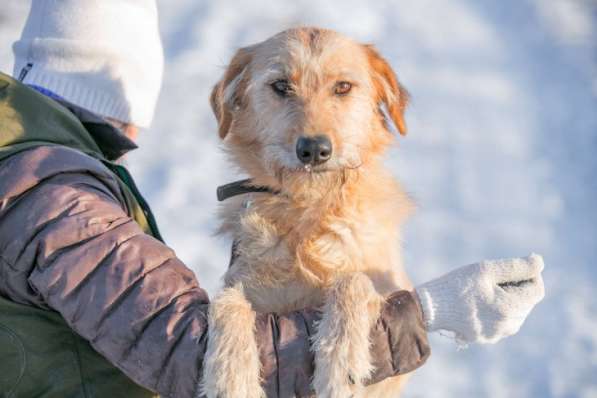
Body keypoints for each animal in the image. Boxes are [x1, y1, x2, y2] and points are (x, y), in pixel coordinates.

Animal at [203, 28, 416, 398]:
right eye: (281, 86)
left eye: (343, 86)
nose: (314, 149)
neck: (308, 212)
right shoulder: (243, 284)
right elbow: (227, 302)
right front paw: (230, 375)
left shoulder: (395, 298)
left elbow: (353, 281)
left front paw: (341, 356)